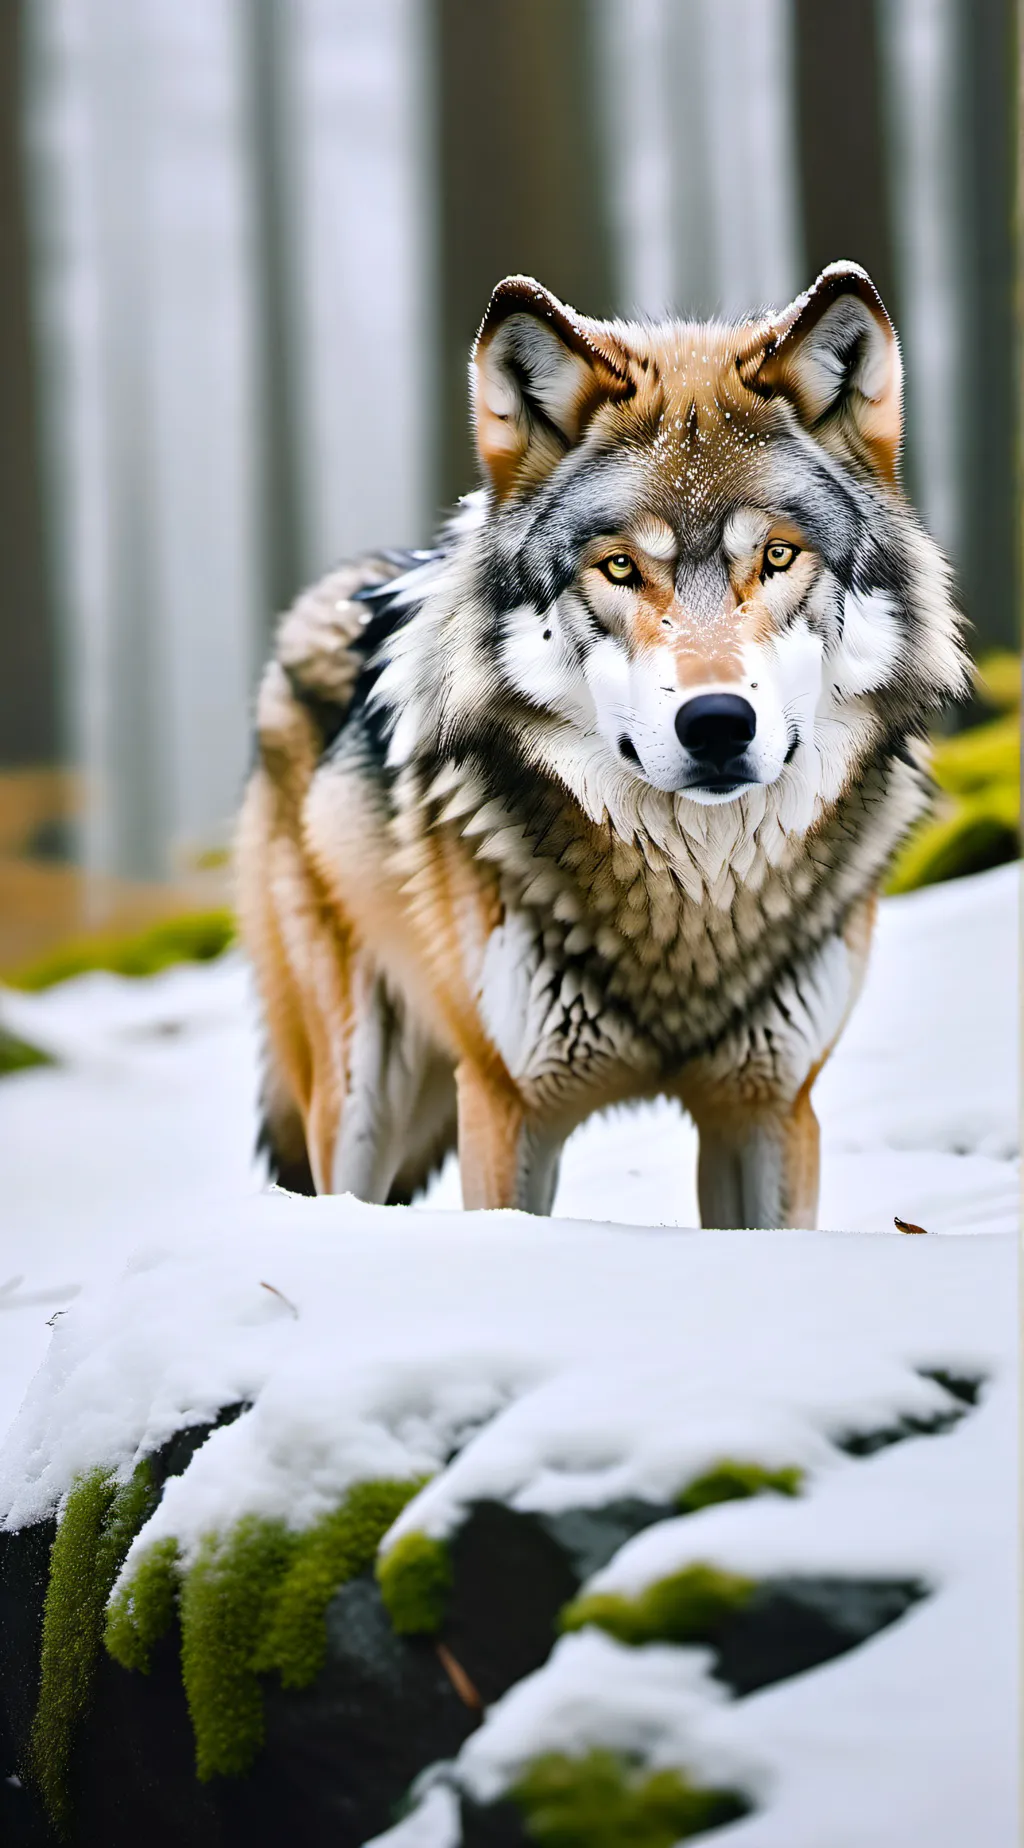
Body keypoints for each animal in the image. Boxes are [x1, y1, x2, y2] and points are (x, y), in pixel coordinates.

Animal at [236, 263, 966, 1228]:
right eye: (620, 567)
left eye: (777, 556)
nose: (718, 722)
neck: (695, 908)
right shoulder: (505, 1102)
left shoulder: (772, 1106)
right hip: (360, 1095)